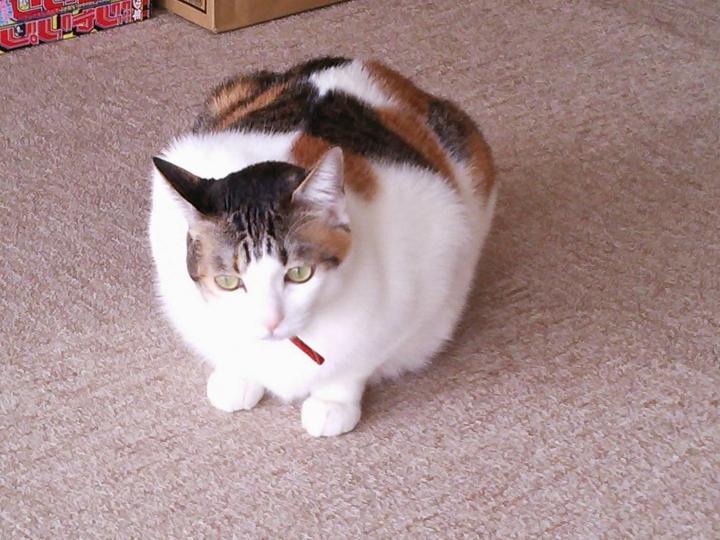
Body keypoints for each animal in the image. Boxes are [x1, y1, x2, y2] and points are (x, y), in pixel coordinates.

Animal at [148, 57, 497, 437]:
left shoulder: (430, 252)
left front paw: (332, 402)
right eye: (228, 281)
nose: (270, 321)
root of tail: (361, 62)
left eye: (299, 273)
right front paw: (237, 376)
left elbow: (358, 360)